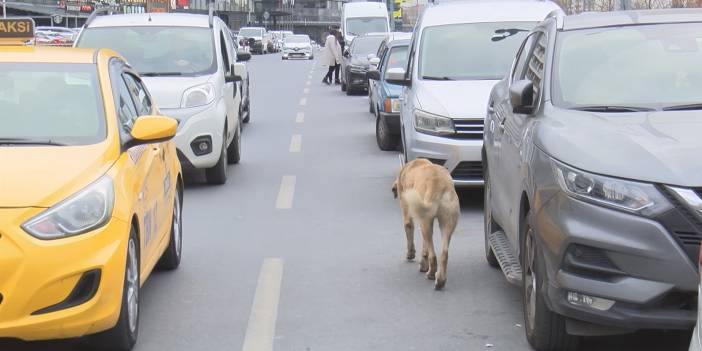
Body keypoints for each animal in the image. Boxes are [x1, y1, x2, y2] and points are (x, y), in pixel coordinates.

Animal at [390, 160, 462, 292]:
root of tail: (440, 185)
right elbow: (425, 247)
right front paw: (423, 262)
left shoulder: (410, 216)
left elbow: (409, 229)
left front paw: (411, 254)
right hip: (446, 223)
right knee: (443, 253)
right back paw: (440, 280)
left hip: (425, 222)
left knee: (433, 255)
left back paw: (431, 274)